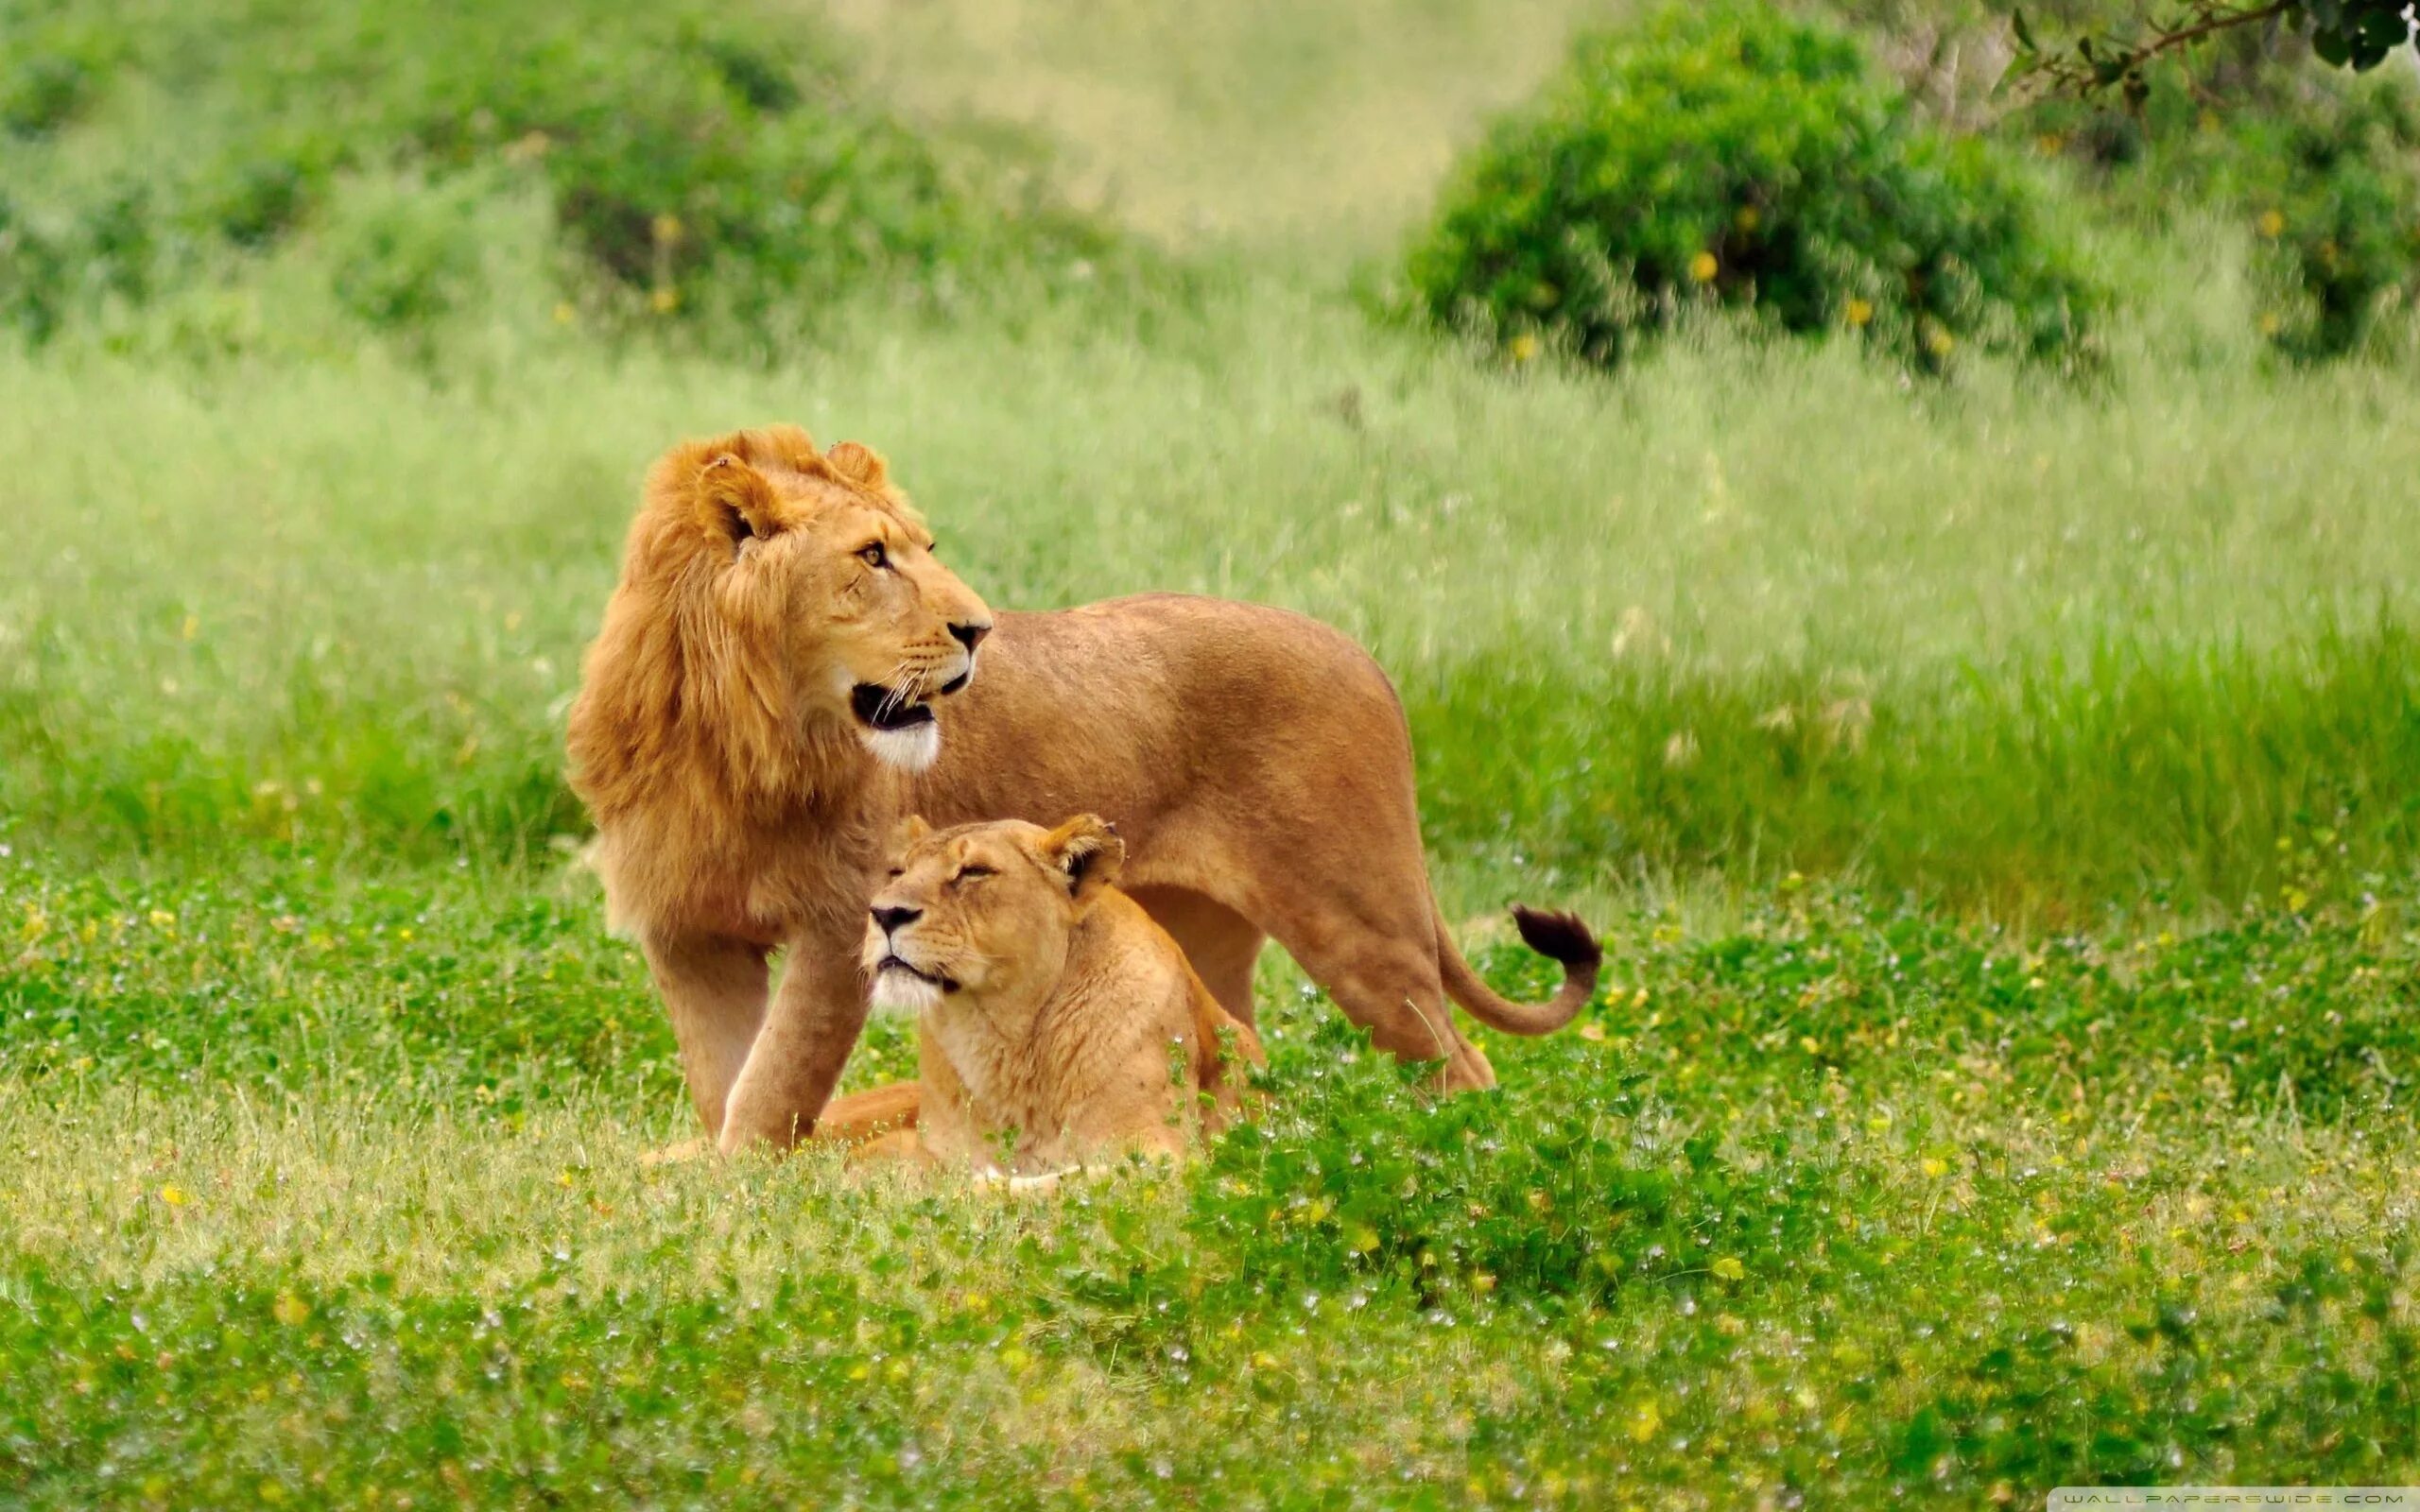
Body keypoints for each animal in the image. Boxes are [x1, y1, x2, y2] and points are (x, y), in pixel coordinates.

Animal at [856, 808, 1268, 1176]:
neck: (1000, 1040)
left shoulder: (1158, 1153)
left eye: (974, 871)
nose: (885, 914)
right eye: (898, 872)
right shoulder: (930, 1147)